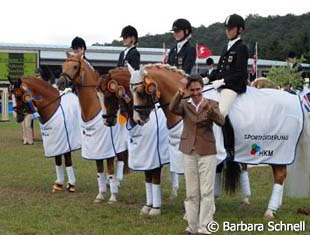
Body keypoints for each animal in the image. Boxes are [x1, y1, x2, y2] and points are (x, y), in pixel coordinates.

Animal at [60, 52, 128, 203]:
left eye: (75, 66)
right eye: (63, 65)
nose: (60, 83)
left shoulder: (108, 148)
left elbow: (110, 170)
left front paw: (112, 197)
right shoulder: (96, 149)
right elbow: (100, 172)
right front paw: (100, 195)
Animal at [127, 63, 308, 219]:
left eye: (141, 91)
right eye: (130, 90)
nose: (138, 119)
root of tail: (294, 98)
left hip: (278, 151)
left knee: (280, 175)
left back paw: (270, 211)